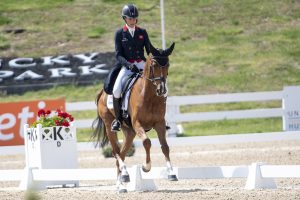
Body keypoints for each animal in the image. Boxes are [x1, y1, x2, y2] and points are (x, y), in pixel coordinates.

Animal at [91, 41, 176, 192]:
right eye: (154, 65)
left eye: (167, 65)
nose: (161, 90)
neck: (150, 96)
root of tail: (102, 92)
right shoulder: (137, 123)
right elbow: (147, 142)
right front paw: (146, 167)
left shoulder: (159, 123)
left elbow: (165, 147)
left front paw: (171, 173)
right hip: (109, 125)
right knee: (116, 152)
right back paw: (123, 178)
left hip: (129, 132)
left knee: (122, 154)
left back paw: (121, 184)